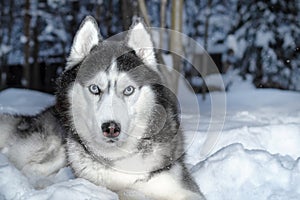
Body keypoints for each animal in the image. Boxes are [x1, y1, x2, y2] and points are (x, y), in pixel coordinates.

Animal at [0, 16, 205, 200]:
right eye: (94, 88)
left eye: (128, 90)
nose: (111, 128)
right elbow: (126, 192)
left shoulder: (183, 187)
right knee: (30, 168)